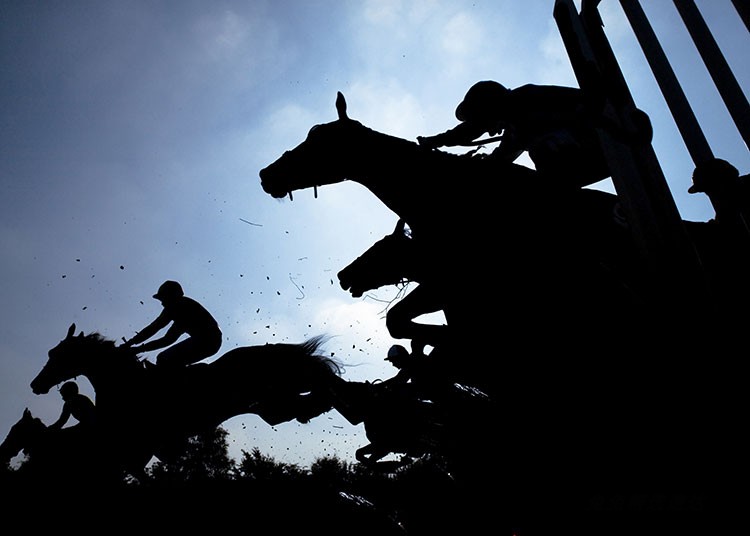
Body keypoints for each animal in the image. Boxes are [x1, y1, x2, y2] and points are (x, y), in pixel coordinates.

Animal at [30, 322, 342, 478]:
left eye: (56, 355)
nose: (36, 385)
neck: (126, 384)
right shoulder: (148, 448)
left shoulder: (138, 446)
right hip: (272, 406)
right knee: (312, 398)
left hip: (274, 401)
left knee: (317, 393)